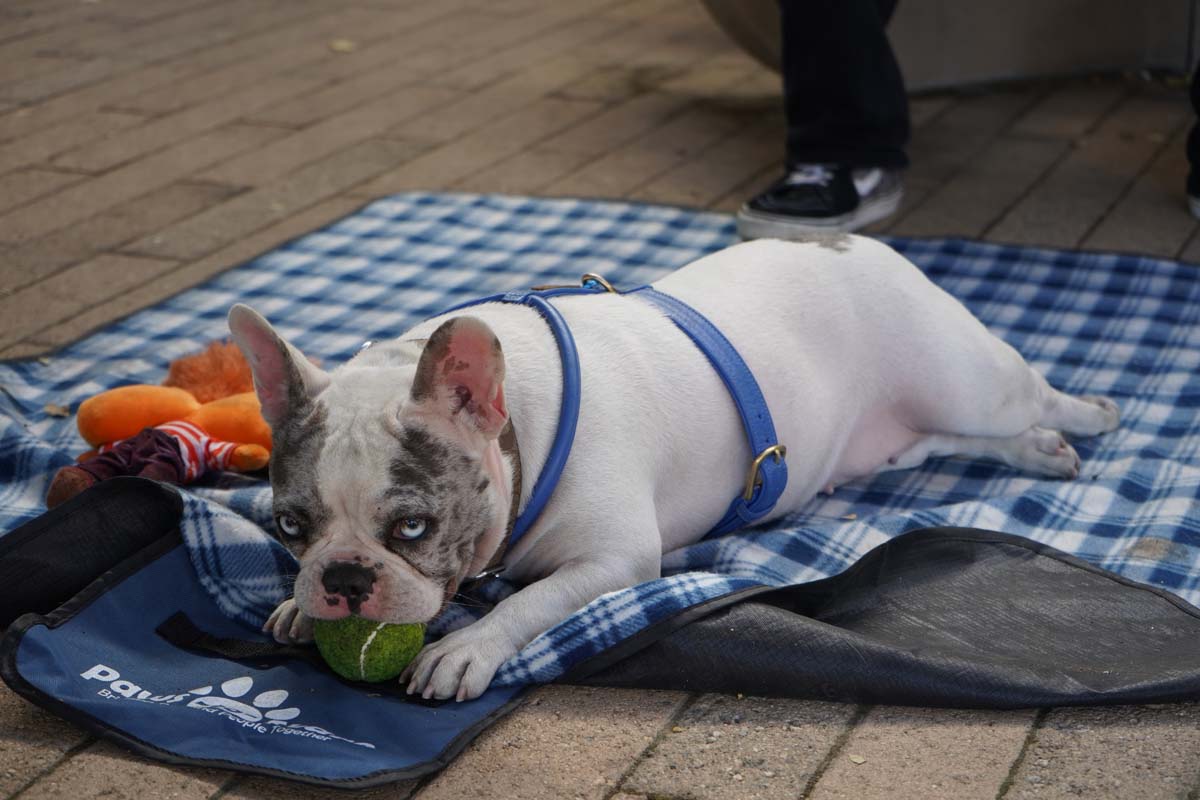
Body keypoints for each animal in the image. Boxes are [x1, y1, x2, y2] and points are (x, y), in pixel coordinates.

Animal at [229, 236, 1118, 700]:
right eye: (291, 526)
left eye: (414, 526)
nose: (345, 580)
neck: (524, 430)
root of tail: (852, 240)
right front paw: (300, 605)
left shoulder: (616, 560)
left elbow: (531, 602)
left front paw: (468, 646)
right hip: (905, 433)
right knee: (946, 441)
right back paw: (1037, 449)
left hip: (967, 378)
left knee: (1026, 397)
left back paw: (1082, 419)